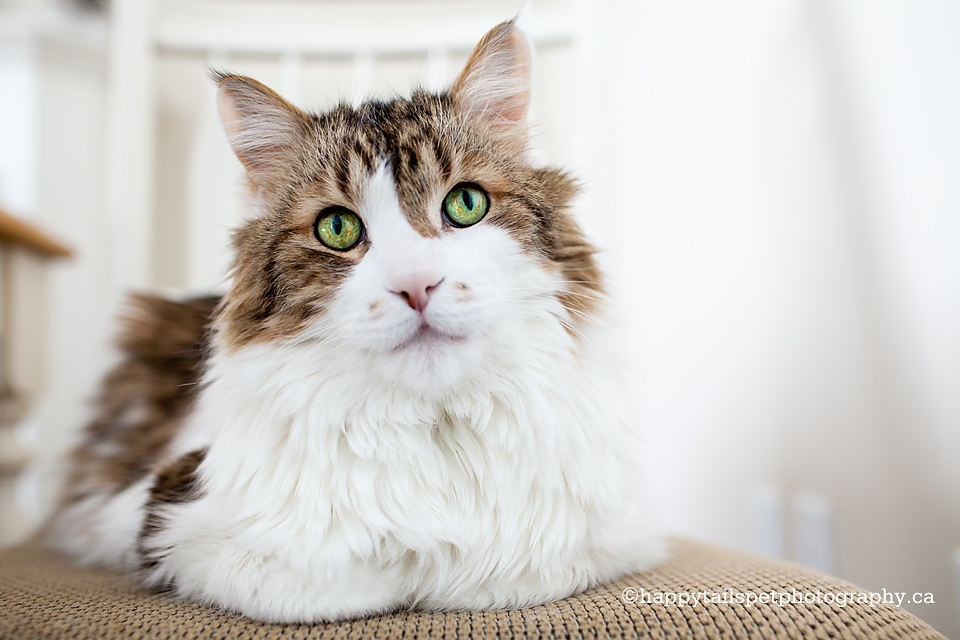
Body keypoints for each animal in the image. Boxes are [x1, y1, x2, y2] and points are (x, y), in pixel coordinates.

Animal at [48, 22, 664, 624]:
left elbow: (504, 572)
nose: (416, 285)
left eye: (466, 204)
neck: (436, 430)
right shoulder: (165, 519)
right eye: (338, 228)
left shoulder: (611, 535)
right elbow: (348, 581)